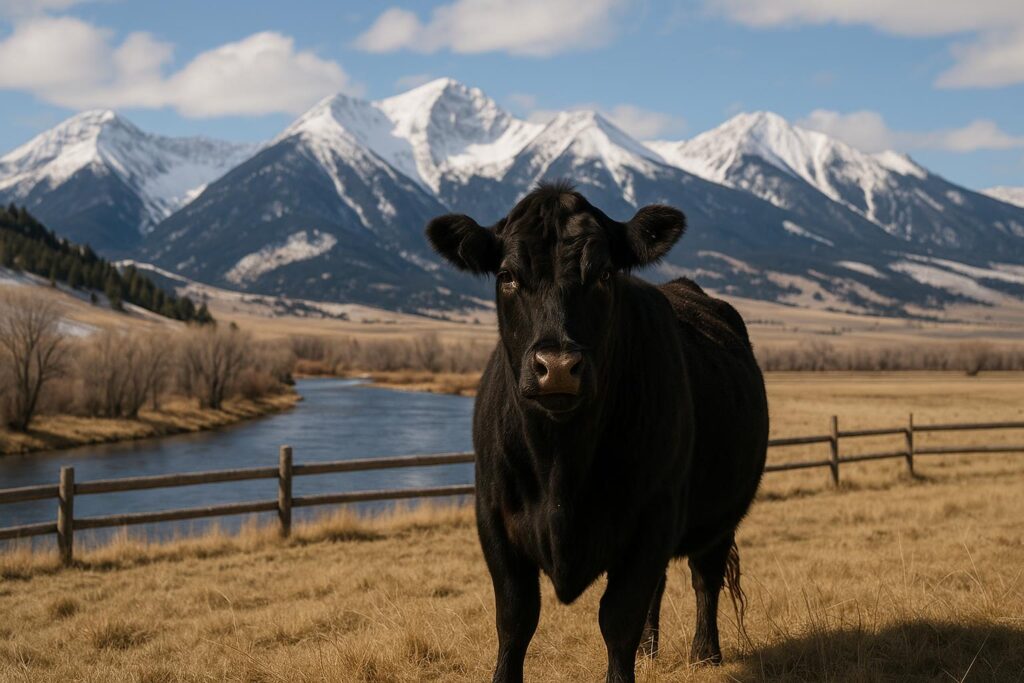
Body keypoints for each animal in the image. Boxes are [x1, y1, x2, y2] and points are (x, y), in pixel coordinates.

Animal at [425, 181, 769, 683]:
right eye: (506, 275)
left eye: (605, 274)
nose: (557, 367)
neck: (560, 466)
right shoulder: (493, 517)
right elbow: (514, 618)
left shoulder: (654, 515)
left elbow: (618, 619)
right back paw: (650, 650)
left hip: (722, 513)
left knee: (704, 576)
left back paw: (705, 653)